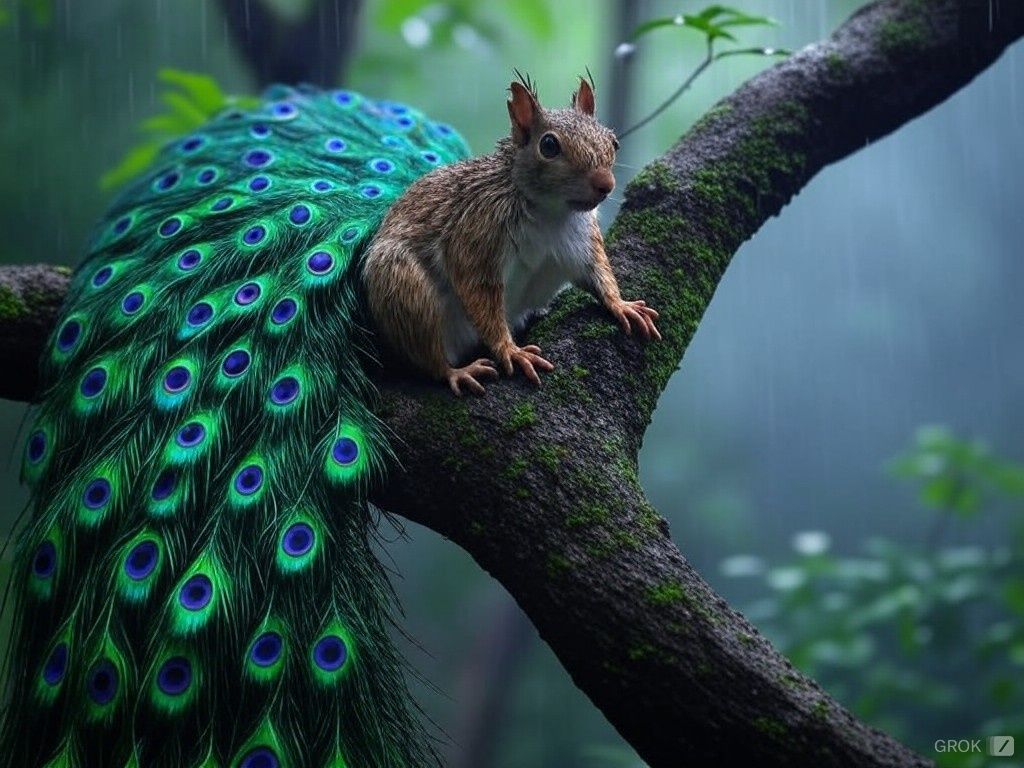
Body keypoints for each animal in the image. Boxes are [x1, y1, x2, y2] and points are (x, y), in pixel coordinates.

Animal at [363, 73, 661, 396]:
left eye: (613, 141)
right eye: (549, 145)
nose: (605, 184)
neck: (549, 212)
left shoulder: (583, 242)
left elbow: (599, 273)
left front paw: (622, 305)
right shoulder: (476, 235)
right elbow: (479, 295)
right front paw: (511, 351)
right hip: (404, 289)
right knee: (428, 353)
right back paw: (456, 371)